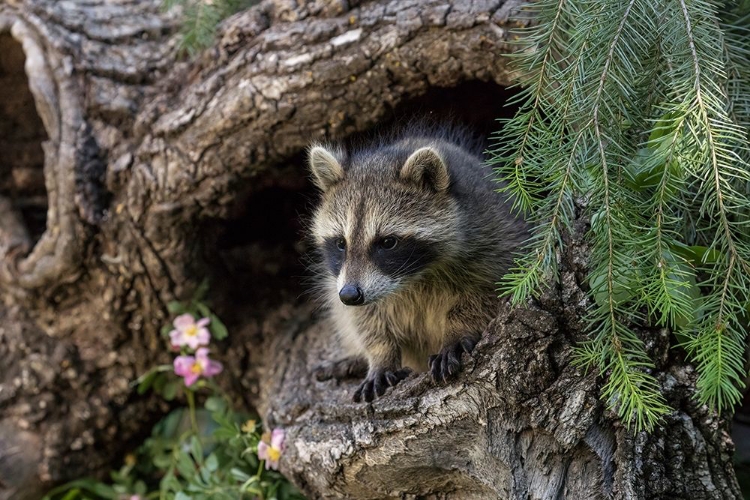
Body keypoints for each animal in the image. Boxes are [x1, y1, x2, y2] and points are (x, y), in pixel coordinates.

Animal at [306, 127, 528, 404]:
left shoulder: (494, 236)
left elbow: (486, 291)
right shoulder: (347, 282)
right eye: (340, 243)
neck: (413, 278)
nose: (350, 295)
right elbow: (366, 319)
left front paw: (457, 330)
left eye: (387, 242)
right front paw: (380, 355)